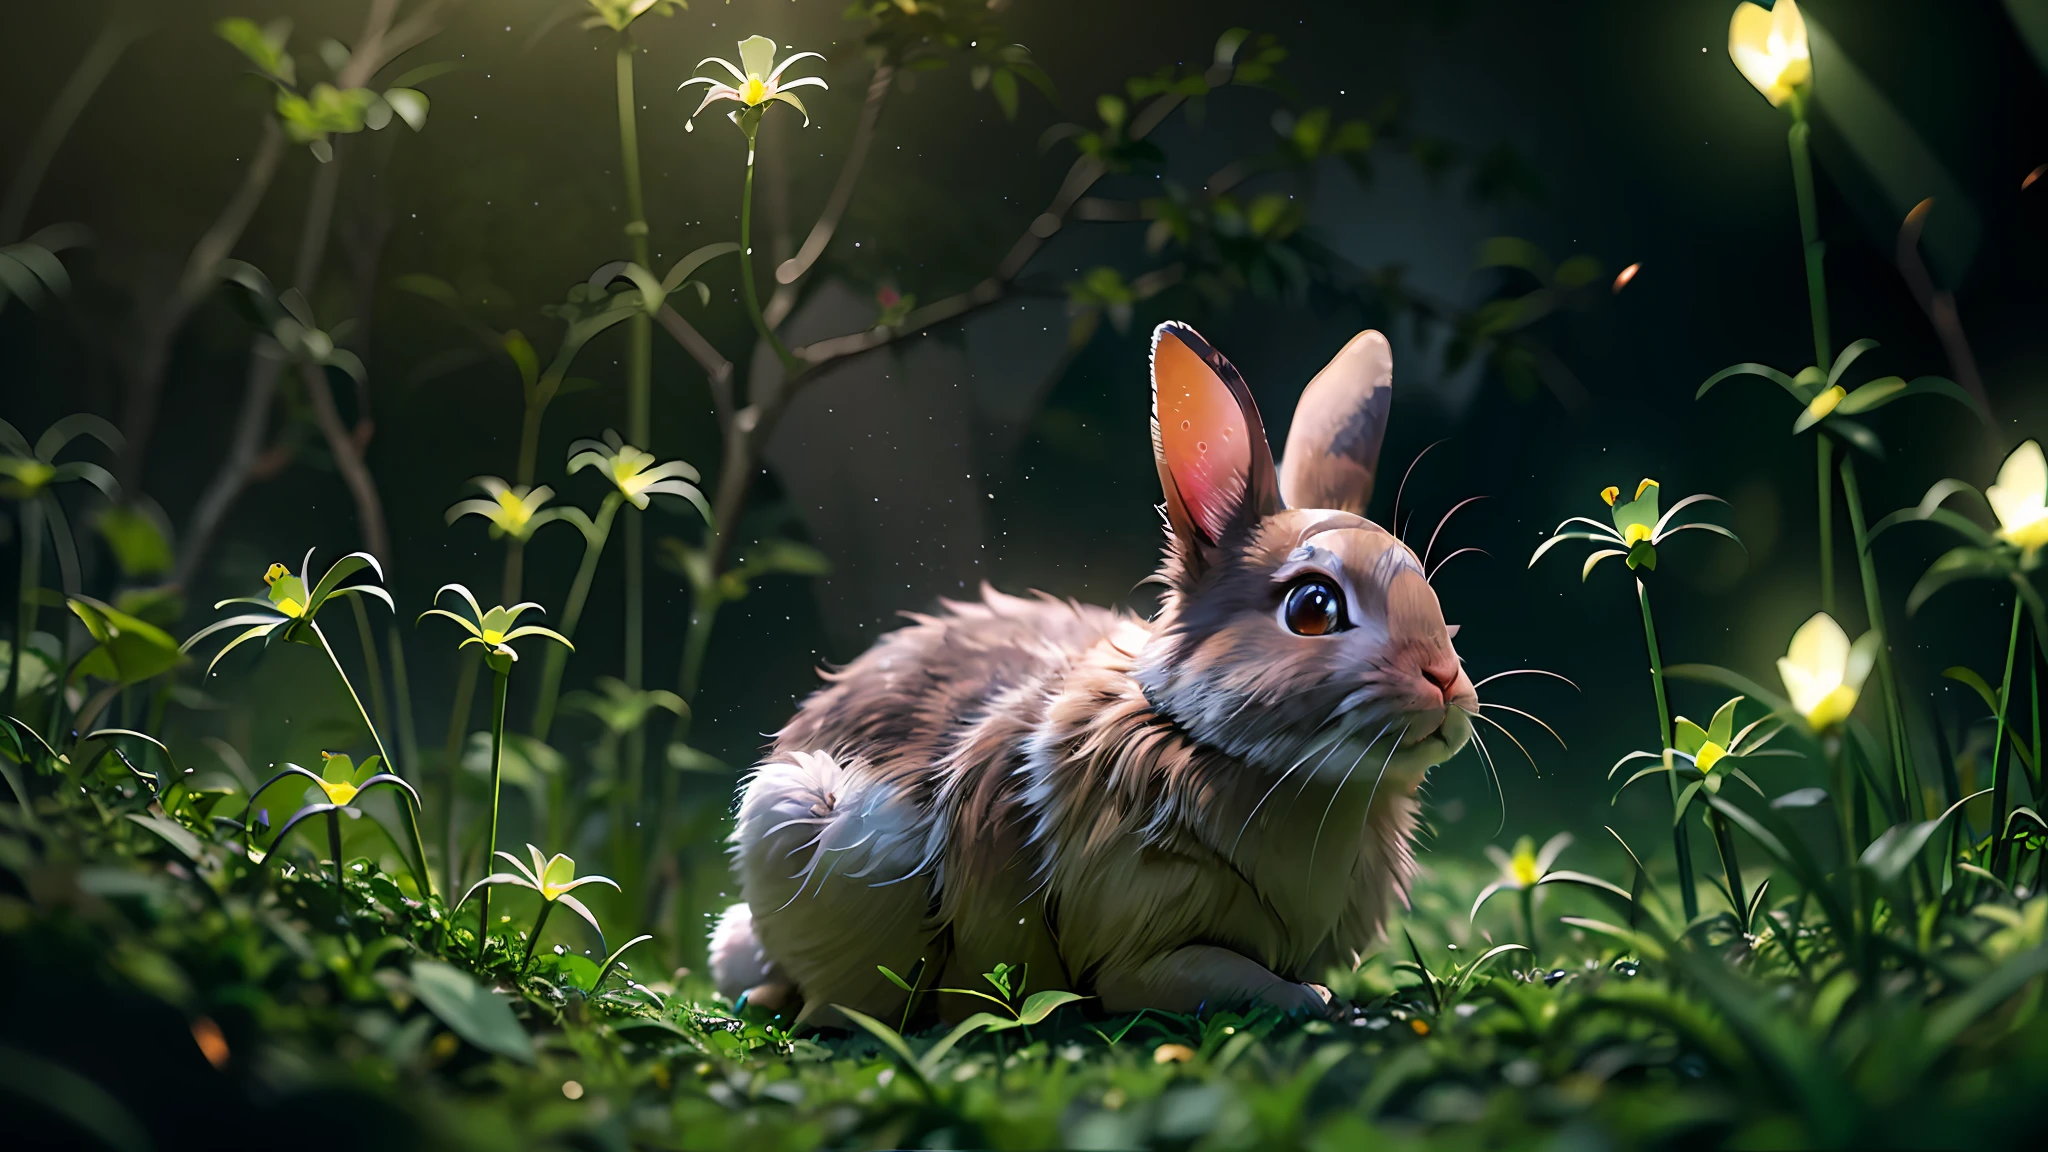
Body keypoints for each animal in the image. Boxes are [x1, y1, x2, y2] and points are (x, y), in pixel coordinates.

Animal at [712, 319, 1482, 1020]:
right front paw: (1314, 999)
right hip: (811, 827)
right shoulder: (1134, 947)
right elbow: (1218, 979)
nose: (1446, 683)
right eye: (1313, 607)